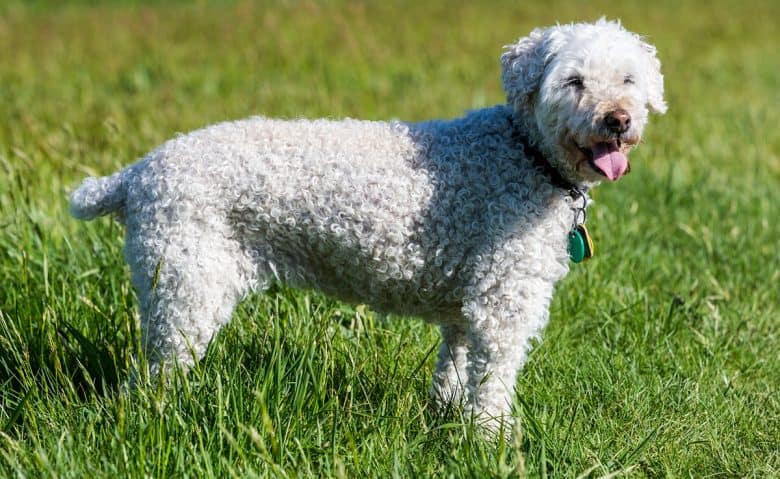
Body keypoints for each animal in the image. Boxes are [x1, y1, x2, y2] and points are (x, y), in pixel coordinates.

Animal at [70, 19, 664, 424]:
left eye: (629, 79)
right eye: (573, 81)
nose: (618, 119)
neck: (523, 153)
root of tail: (137, 173)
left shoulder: (466, 310)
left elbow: (454, 368)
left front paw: (445, 419)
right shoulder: (502, 302)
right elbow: (493, 381)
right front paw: (492, 440)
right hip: (186, 287)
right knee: (147, 379)